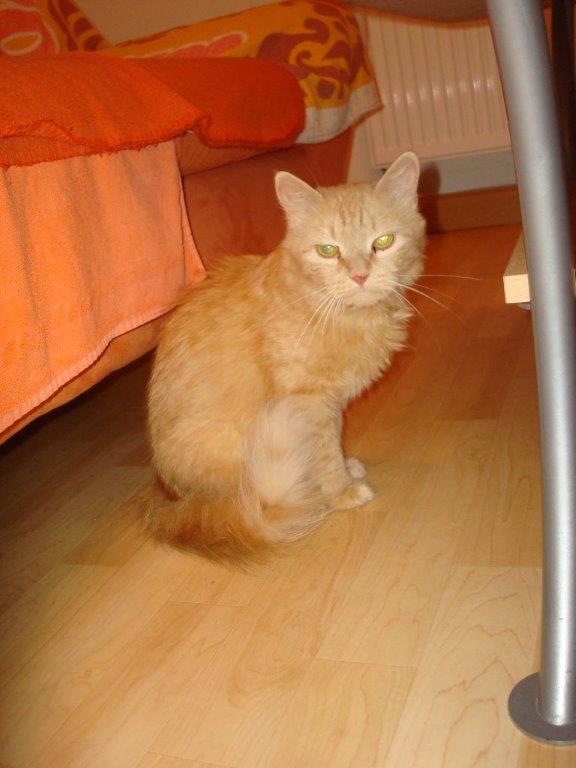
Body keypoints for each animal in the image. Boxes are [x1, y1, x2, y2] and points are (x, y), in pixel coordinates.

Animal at [147, 151, 425, 561]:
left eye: (384, 241)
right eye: (328, 250)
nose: (359, 276)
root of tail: (176, 501)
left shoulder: (329, 405)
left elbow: (334, 443)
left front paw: (345, 471)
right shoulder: (308, 401)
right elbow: (325, 454)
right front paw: (340, 491)